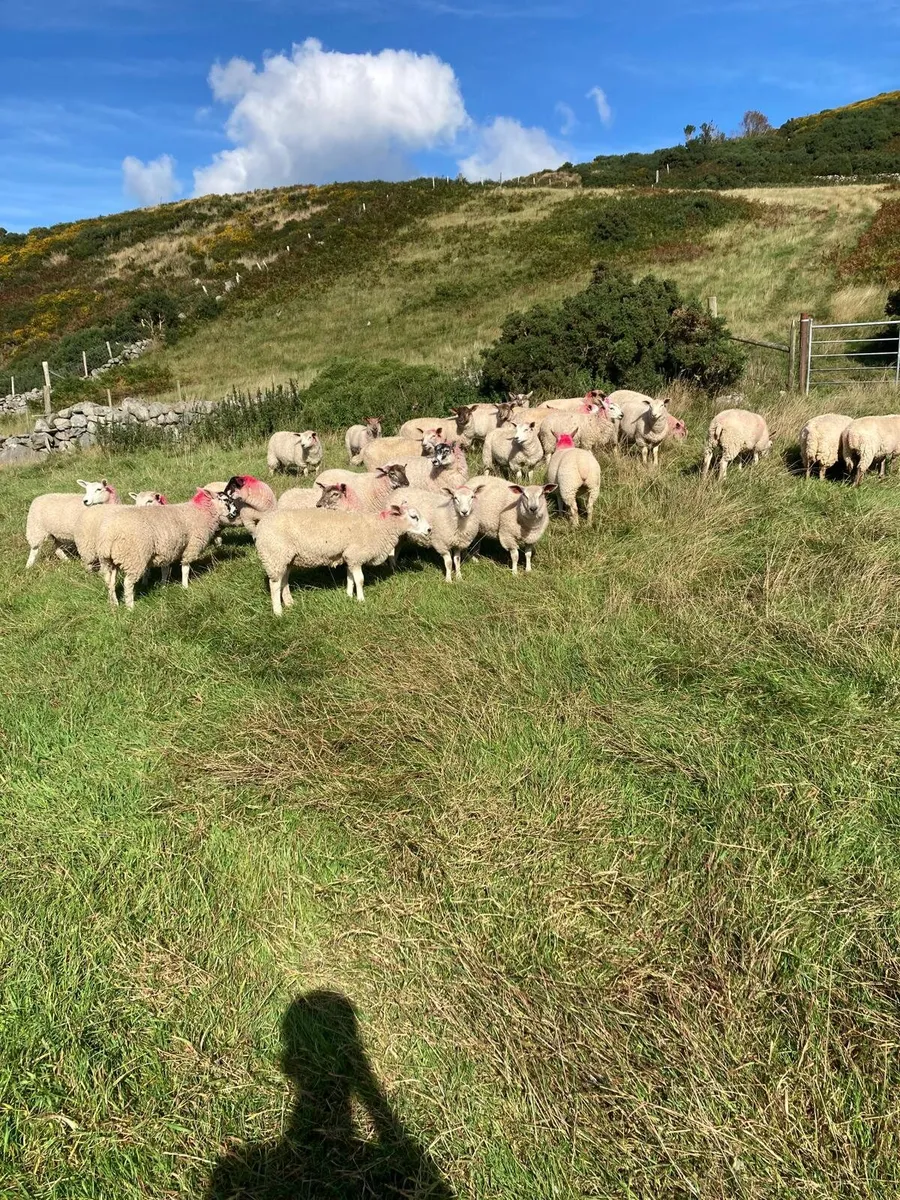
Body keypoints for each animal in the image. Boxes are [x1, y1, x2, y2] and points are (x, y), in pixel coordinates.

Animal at [98, 488, 239, 609]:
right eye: (226, 500)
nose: (235, 512)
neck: (200, 512)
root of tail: (109, 535)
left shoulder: (167, 549)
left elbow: (165, 570)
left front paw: (163, 586)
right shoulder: (191, 546)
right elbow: (185, 568)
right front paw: (185, 587)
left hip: (109, 560)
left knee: (110, 582)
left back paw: (114, 604)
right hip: (134, 557)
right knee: (127, 583)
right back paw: (130, 607)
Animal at [254, 501, 432, 613]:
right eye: (414, 516)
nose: (429, 529)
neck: (379, 526)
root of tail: (260, 527)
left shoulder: (349, 556)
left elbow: (350, 578)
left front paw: (348, 595)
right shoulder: (356, 555)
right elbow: (359, 580)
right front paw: (361, 600)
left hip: (286, 558)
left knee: (284, 580)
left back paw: (290, 603)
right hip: (274, 554)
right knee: (274, 584)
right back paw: (278, 612)